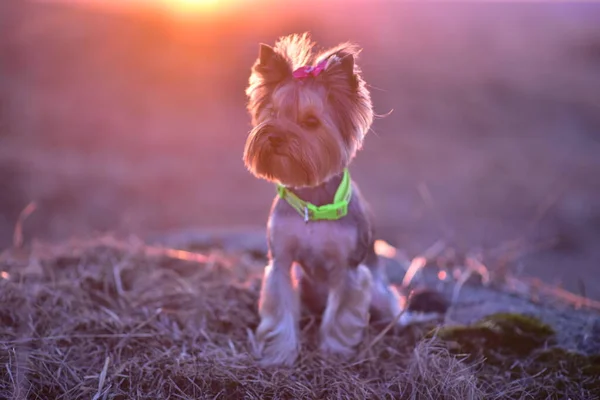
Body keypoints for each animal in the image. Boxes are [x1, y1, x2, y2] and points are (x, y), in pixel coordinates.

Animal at [243, 33, 408, 366]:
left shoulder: (350, 269)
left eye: (310, 122)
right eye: (273, 113)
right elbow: (280, 309)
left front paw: (334, 352)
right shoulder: (281, 261)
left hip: (379, 291)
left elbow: (342, 313)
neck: (313, 203)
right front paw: (280, 354)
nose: (275, 136)